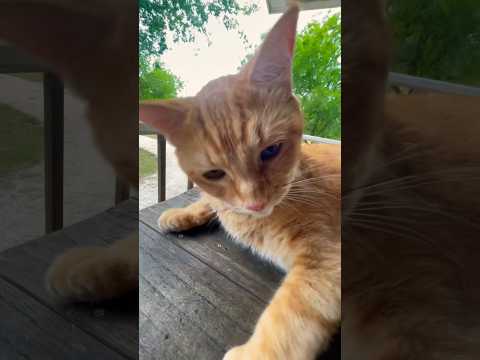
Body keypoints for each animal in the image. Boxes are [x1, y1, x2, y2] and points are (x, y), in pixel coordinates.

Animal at [140, 5, 342, 360]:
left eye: (271, 151)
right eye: (214, 174)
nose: (255, 202)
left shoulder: (326, 258)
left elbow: (292, 313)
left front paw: (256, 352)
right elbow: (212, 202)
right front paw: (183, 213)